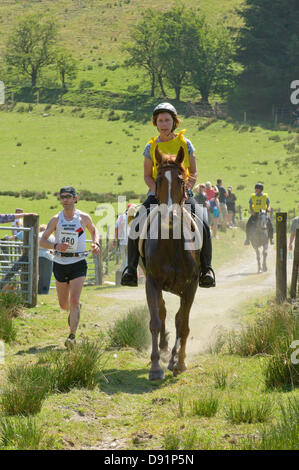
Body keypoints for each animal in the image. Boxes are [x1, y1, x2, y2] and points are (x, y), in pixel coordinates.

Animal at [140, 146, 202, 378]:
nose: (170, 217)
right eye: (158, 180)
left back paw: (174, 356)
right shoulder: (152, 282)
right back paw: (165, 350)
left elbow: (183, 324)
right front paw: (156, 367)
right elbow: (156, 322)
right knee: (163, 312)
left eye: (181, 180)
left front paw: (180, 362)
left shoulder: (191, 286)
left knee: (177, 318)